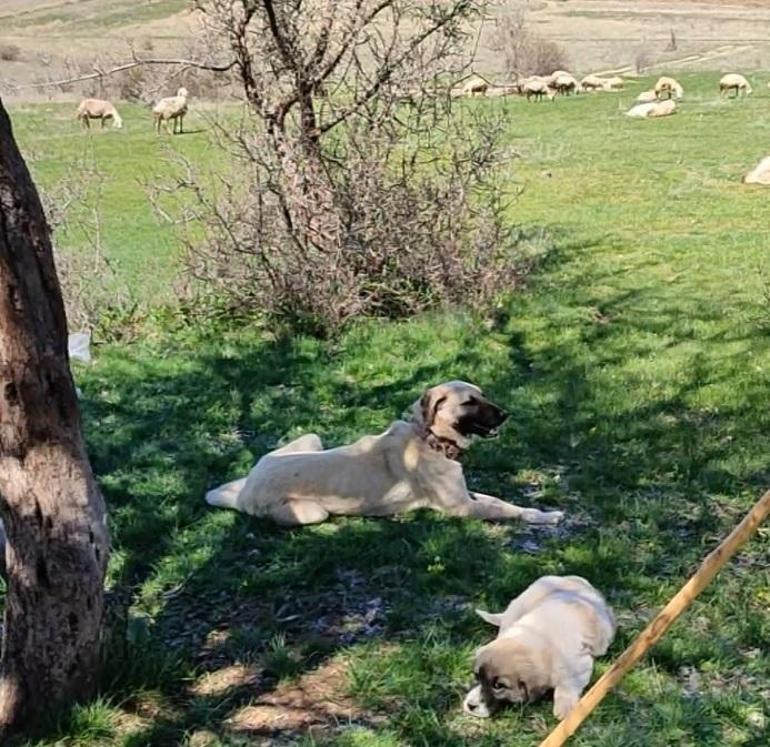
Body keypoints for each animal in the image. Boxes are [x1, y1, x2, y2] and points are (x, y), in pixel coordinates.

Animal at [207, 382, 560, 528]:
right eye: (469, 402)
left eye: (483, 396)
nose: (506, 414)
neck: (429, 439)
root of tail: (248, 489)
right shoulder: (461, 507)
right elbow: (505, 510)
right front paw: (543, 517)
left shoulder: (467, 494)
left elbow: (502, 501)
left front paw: (540, 512)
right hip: (313, 512)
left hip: (311, 438)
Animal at [460, 576, 616, 720]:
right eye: (476, 676)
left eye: (498, 686)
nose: (470, 705)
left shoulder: (578, 665)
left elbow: (568, 684)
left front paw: (564, 709)